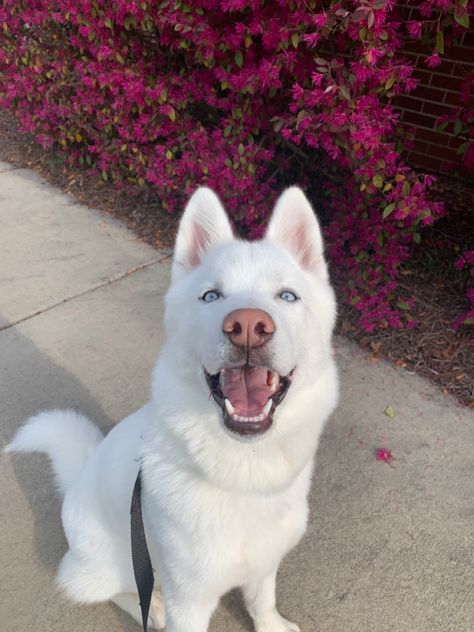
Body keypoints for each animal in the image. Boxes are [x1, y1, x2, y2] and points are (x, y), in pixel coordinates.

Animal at [9, 185, 338, 628]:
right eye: (211, 296)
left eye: (287, 296)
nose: (247, 326)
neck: (245, 473)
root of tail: (78, 477)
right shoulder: (191, 601)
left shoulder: (265, 562)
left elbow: (262, 601)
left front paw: (270, 625)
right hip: (107, 567)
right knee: (113, 590)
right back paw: (153, 610)